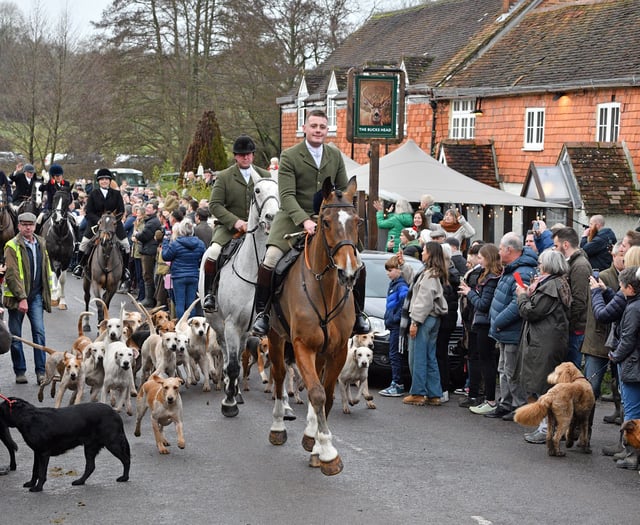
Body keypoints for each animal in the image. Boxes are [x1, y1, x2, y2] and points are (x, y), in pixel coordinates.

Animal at [0, 398, 130, 492]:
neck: (28, 417)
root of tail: (115, 413)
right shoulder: (36, 452)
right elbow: (34, 470)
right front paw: (31, 483)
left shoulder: (43, 453)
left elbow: (41, 473)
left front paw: (38, 488)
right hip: (90, 447)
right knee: (90, 466)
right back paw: (79, 481)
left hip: (112, 443)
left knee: (126, 459)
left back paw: (124, 478)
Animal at [266, 176, 360, 474]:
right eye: (326, 222)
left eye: (357, 221)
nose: (348, 272)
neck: (326, 289)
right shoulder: (302, 346)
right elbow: (317, 394)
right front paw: (329, 452)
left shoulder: (339, 350)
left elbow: (326, 395)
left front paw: (318, 445)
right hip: (275, 337)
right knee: (279, 376)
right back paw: (278, 427)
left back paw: (310, 435)